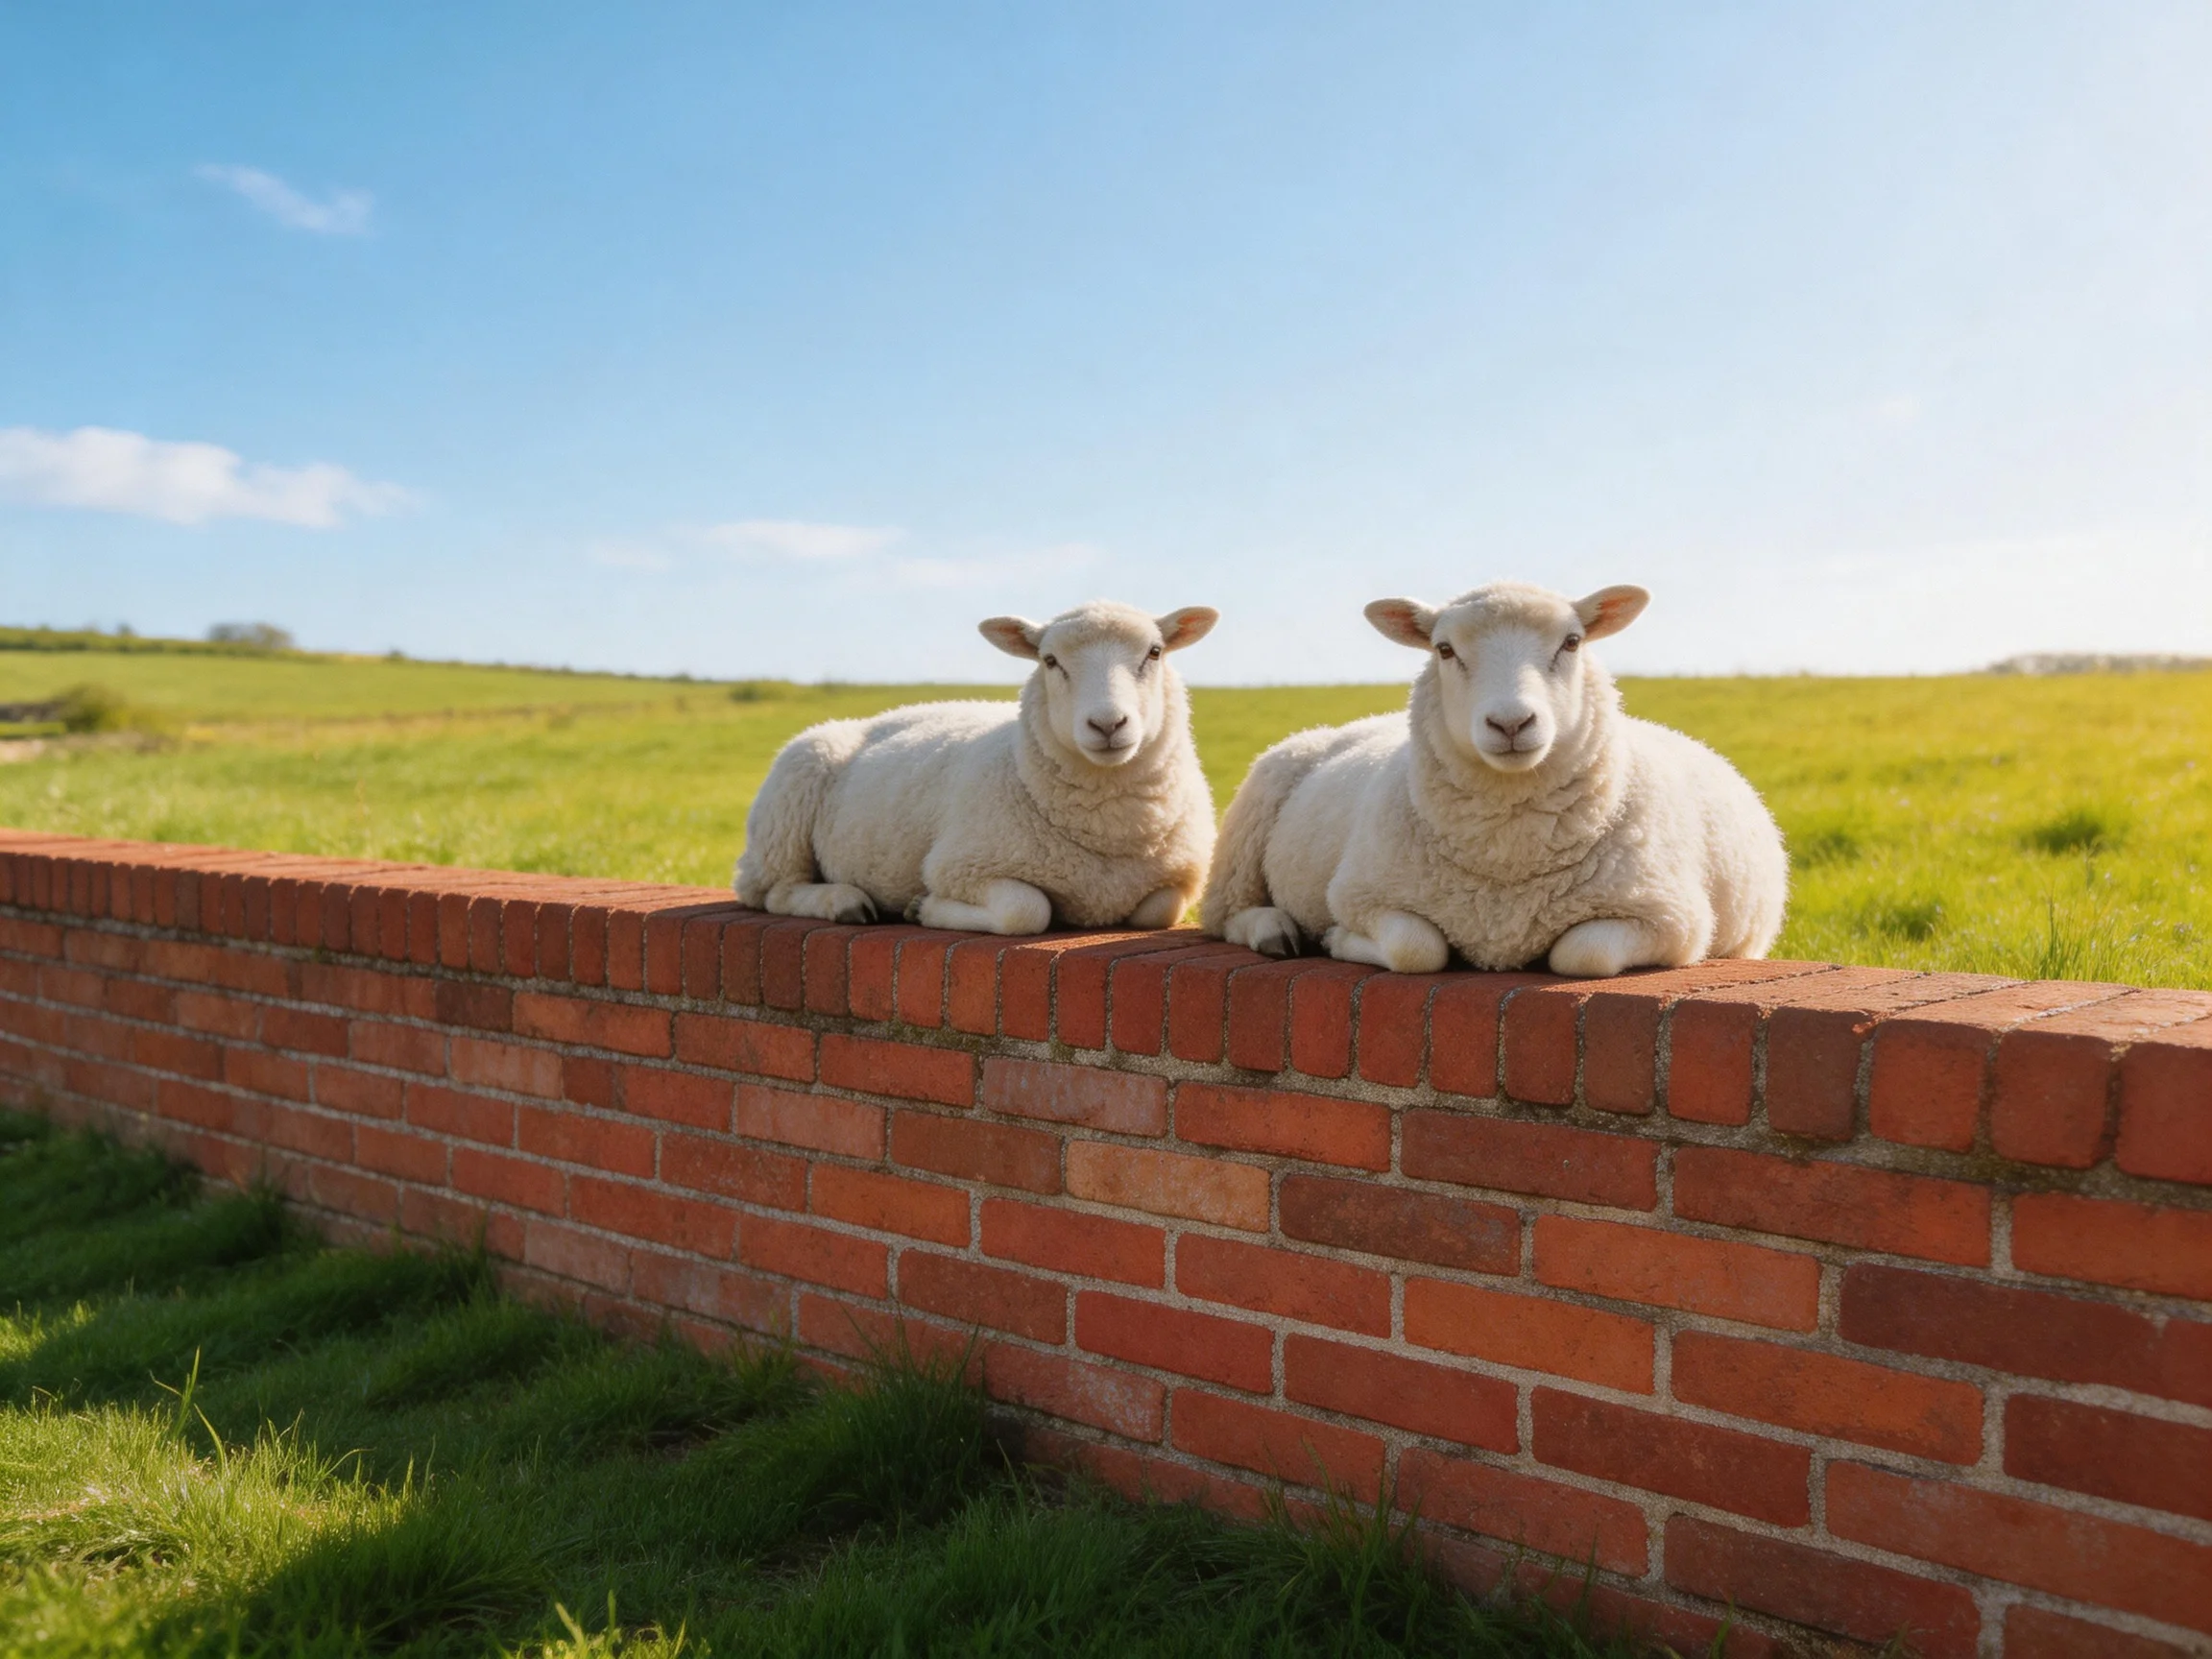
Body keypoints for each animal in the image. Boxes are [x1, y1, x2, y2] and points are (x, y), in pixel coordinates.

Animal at [735, 600, 1219, 936]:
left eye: (1154, 652)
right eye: (1050, 661)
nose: (1107, 724)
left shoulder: (1181, 879)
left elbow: (1158, 910)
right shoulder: (958, 866)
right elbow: (1025, 911)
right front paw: (923, 909)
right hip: (785, 811)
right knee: (773, 891)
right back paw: (843, 901)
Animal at [1202, 581, 1786, 976]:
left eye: (1572, 642)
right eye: (1444, 650)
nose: (1511, 723)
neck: (1507, 858)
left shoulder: (1675, 922)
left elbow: (1584, 954)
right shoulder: (1360, 895)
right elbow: (1417, 949)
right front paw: (1336, 941)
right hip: (1249, 822)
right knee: (1225, 914)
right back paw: (1274, 931)